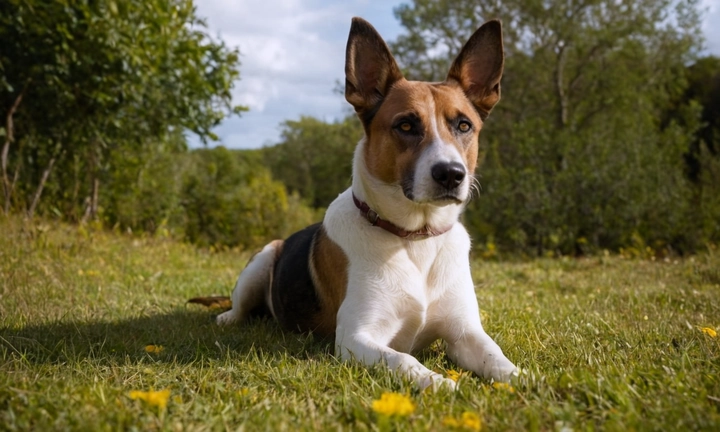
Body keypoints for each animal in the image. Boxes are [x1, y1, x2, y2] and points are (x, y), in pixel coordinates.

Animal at [214, 16, 516, 390]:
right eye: (405, 125)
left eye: (463, 125)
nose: (451, 174)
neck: (414, 238)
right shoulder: (356, 338)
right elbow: (403, 359)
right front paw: (437, 381)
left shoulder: (465, 333)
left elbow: (496, 357)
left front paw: (527, 380)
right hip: (263, 258)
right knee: (239, 306)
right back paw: (227, 317)